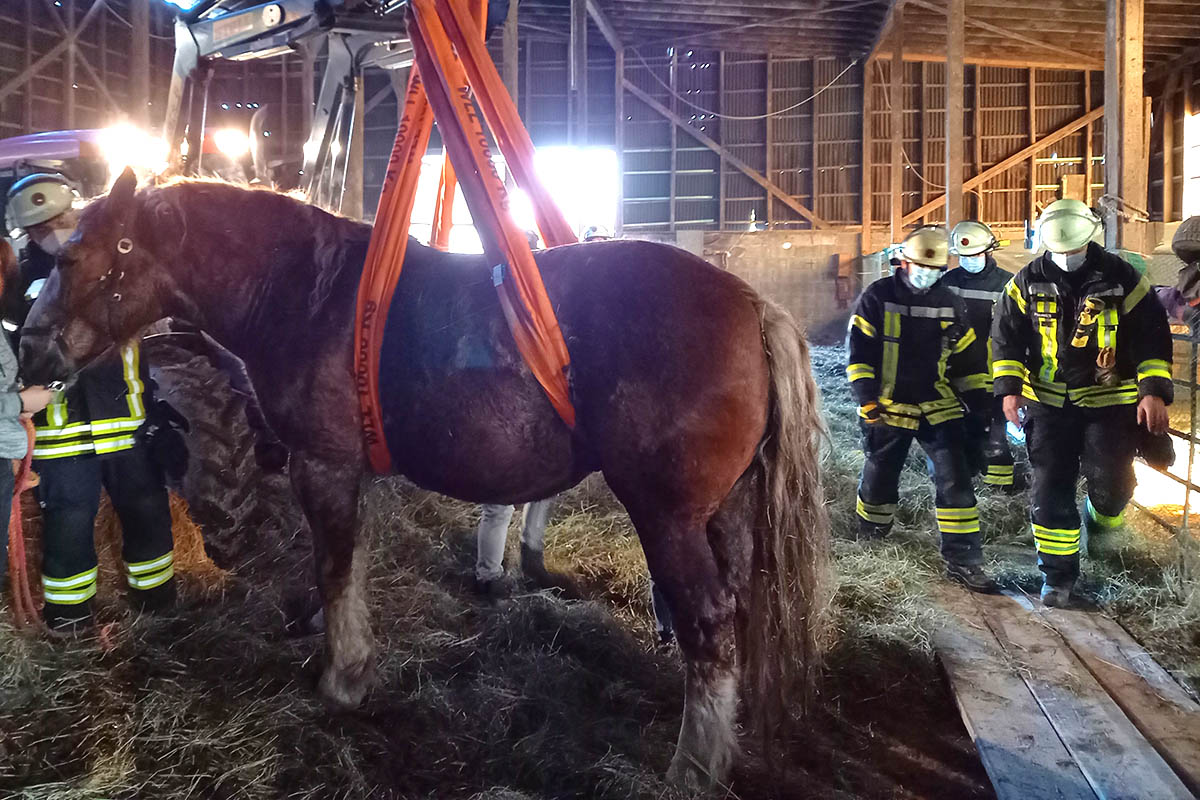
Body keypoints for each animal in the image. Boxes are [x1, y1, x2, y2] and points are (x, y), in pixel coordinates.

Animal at [23, 167, 835, 786]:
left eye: (71, 258)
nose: (29, 349)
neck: (305, 292)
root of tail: (753, 304)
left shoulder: (322, 463)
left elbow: (333, 565)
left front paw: (342, 676)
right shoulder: (350, 472)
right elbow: (349, 563)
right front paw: (343, 650)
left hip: (668, 517)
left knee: (708, 625)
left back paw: (692, 769)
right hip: (726, 512)